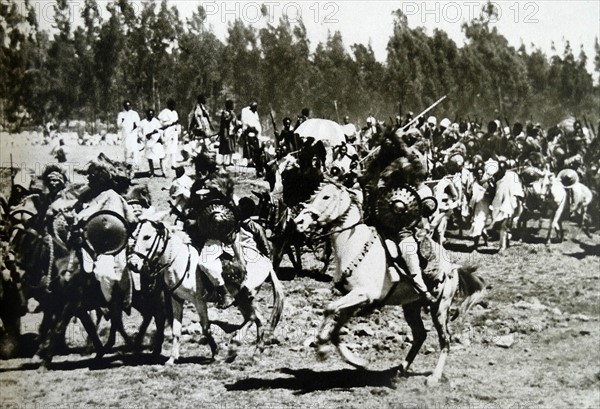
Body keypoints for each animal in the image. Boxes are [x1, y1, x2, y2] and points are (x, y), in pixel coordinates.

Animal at [296, 183, 488, 384]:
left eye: (326, 196)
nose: (299, 221)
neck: (353, 245)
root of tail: (453, 267)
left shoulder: (363, 294)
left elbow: (329, 308)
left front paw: (321, 349)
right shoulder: (353, 299)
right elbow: (334, 329)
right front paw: (356, 361)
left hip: (440, 308)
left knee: (445, 340)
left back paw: (434, 377)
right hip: (411, 307)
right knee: (420, 335)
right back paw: (400, 370)